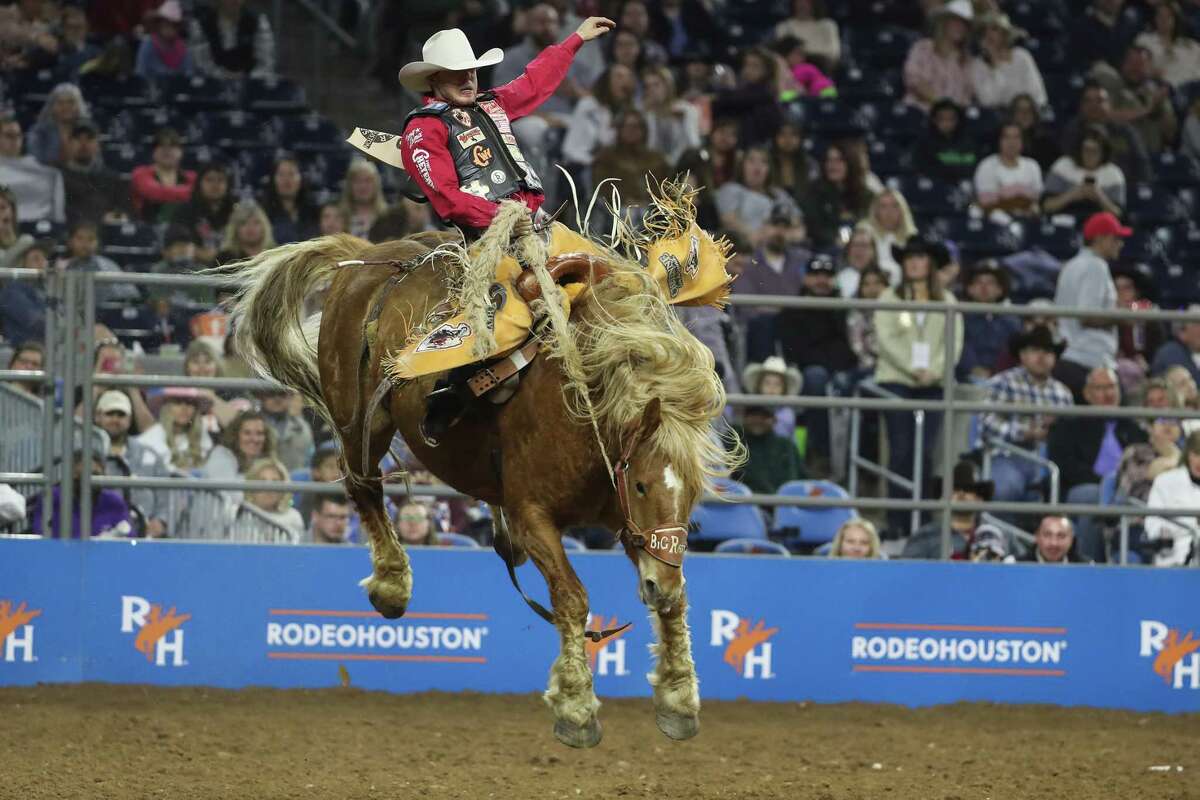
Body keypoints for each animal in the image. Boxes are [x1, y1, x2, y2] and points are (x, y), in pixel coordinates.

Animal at [222, 211, 734, 743]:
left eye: (693, 496)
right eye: (641, 484)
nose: (657, 585)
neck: (584, 405)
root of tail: (369, 256)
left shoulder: (630, 524)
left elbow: (673, 597)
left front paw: (678, 700)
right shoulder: (536, 516)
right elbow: (572, 597)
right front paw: (575, 706)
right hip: (359, 417)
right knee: (363, 485)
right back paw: (392, 585)